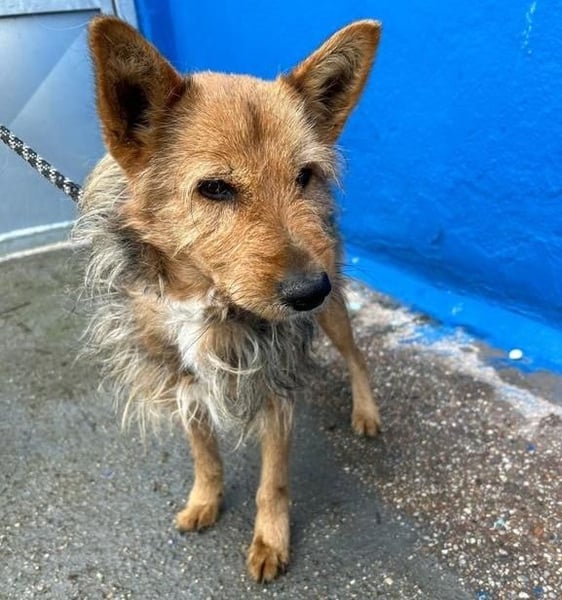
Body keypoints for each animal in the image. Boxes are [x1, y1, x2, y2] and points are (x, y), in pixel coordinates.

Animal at [76, 15, 381, 582]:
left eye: (304, 176)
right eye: (215, 188)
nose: (310, 291)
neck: (205, 299)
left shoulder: (275, 384)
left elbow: (273, 481)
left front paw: (270, 540)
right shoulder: (182, 378)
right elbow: (204, 454)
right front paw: (206, 500)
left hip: (334, 313)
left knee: (357, 356)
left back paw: (366, 411)